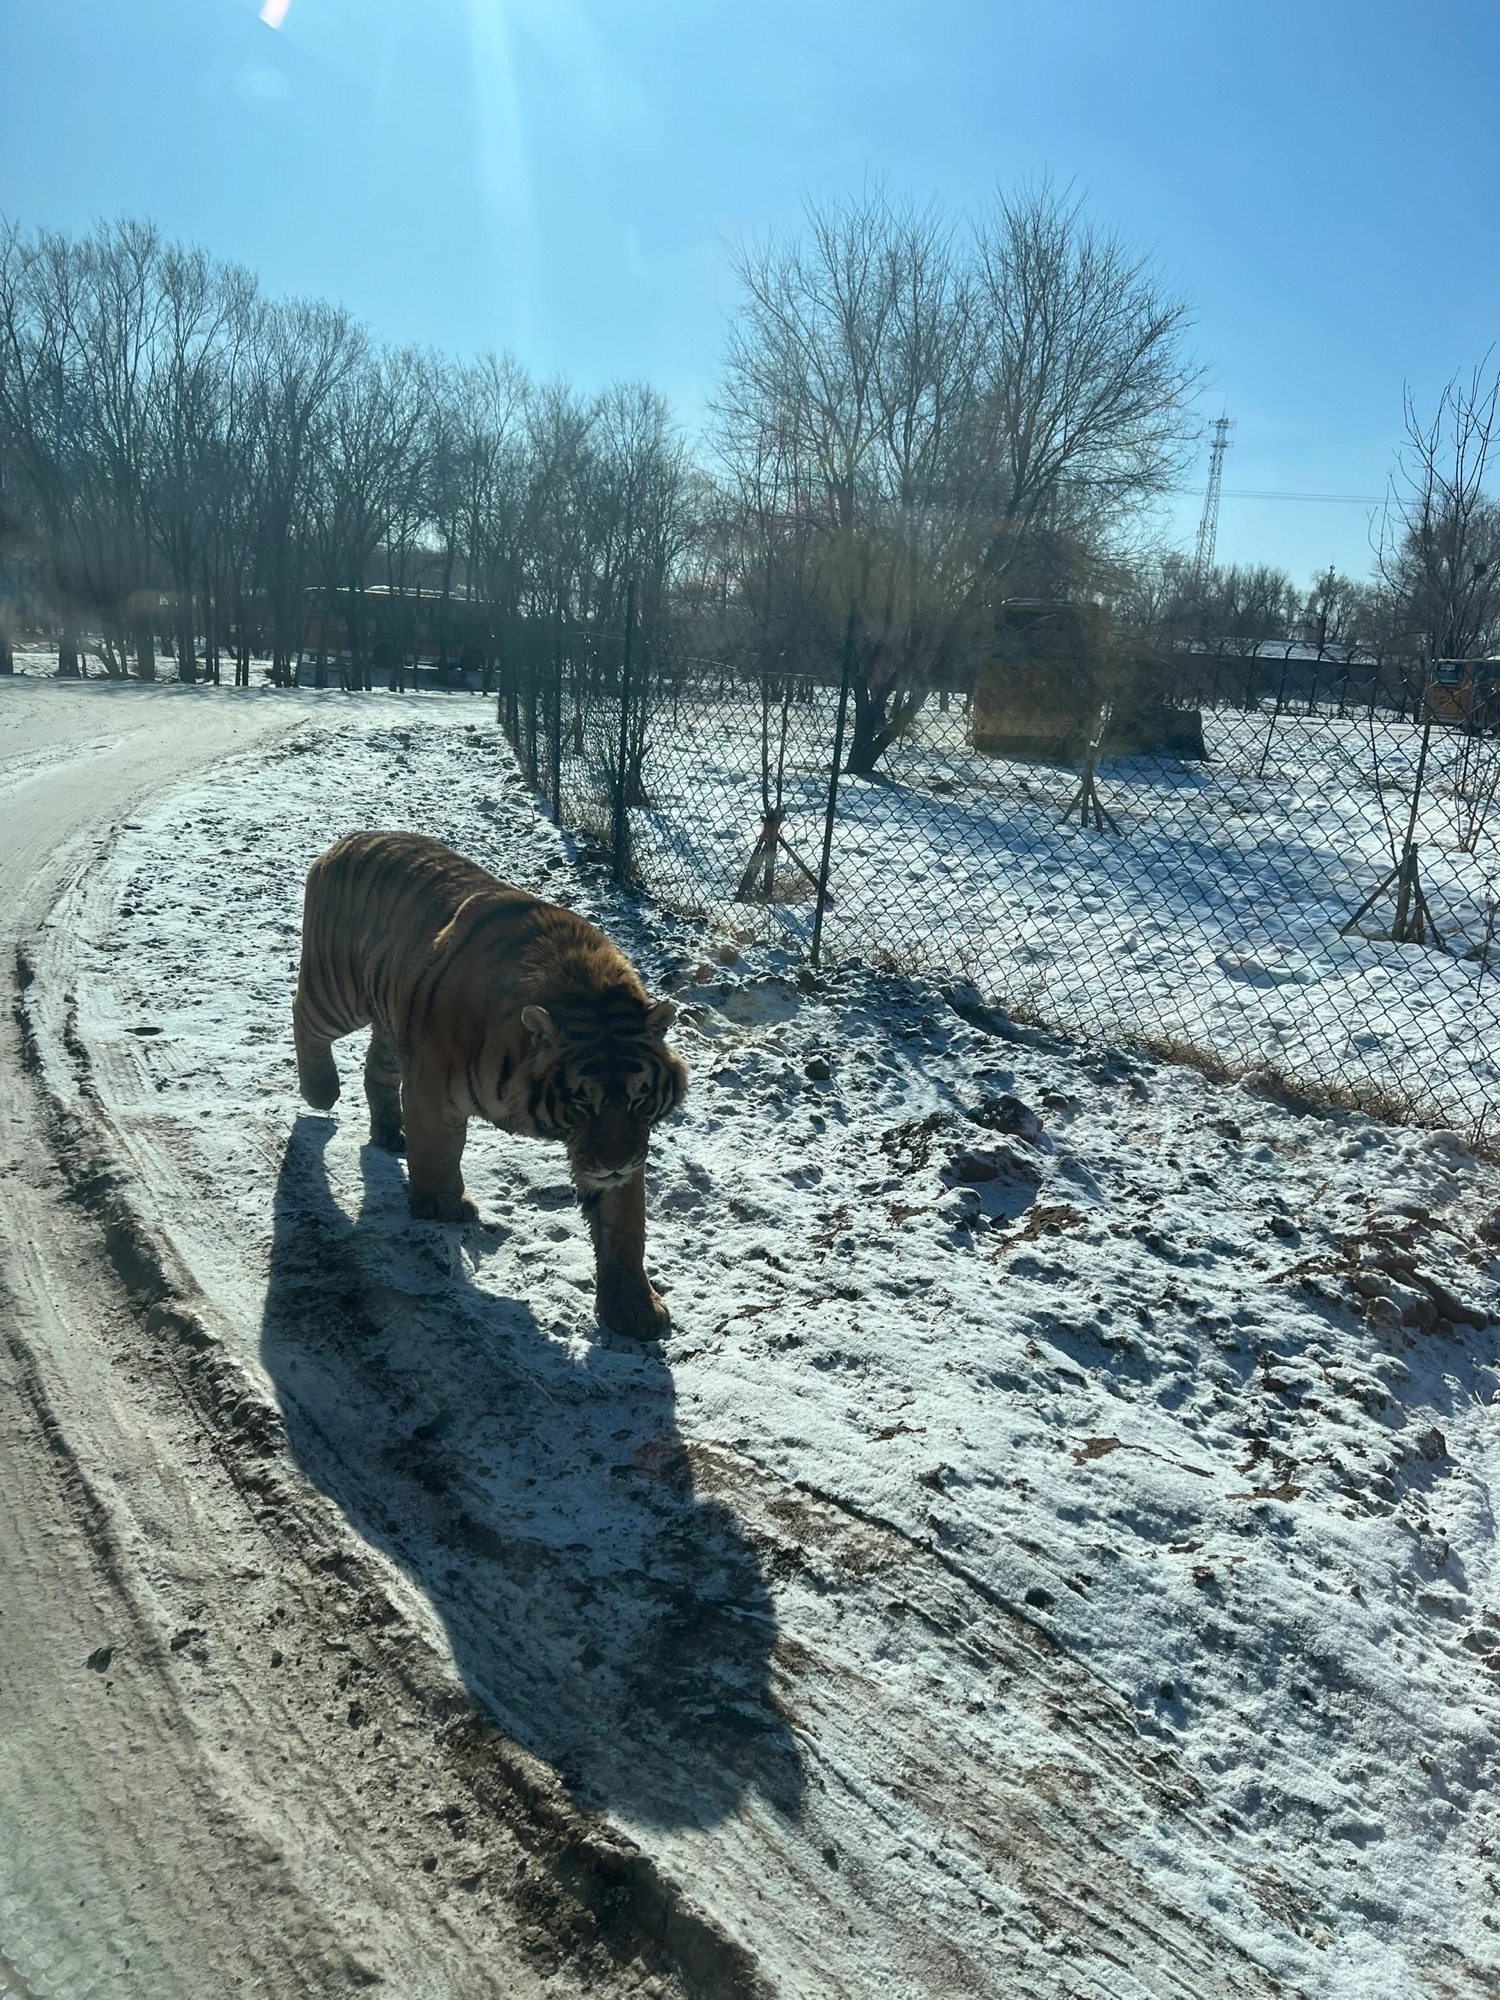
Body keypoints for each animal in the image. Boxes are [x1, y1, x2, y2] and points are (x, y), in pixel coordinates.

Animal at [291, 830, 688, 1340]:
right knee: (303, 1014)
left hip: (390, 1023)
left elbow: (624, 1224)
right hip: (337, 991)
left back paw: (389, 1134)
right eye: (583, 1103)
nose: (615, 1164)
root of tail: (348, 839)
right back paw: (321, 1091)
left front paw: (635, 1309)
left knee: (375, 1068)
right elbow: (439, 1153)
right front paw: (441, 1206)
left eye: (639, 1098)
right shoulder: (431, 1089)